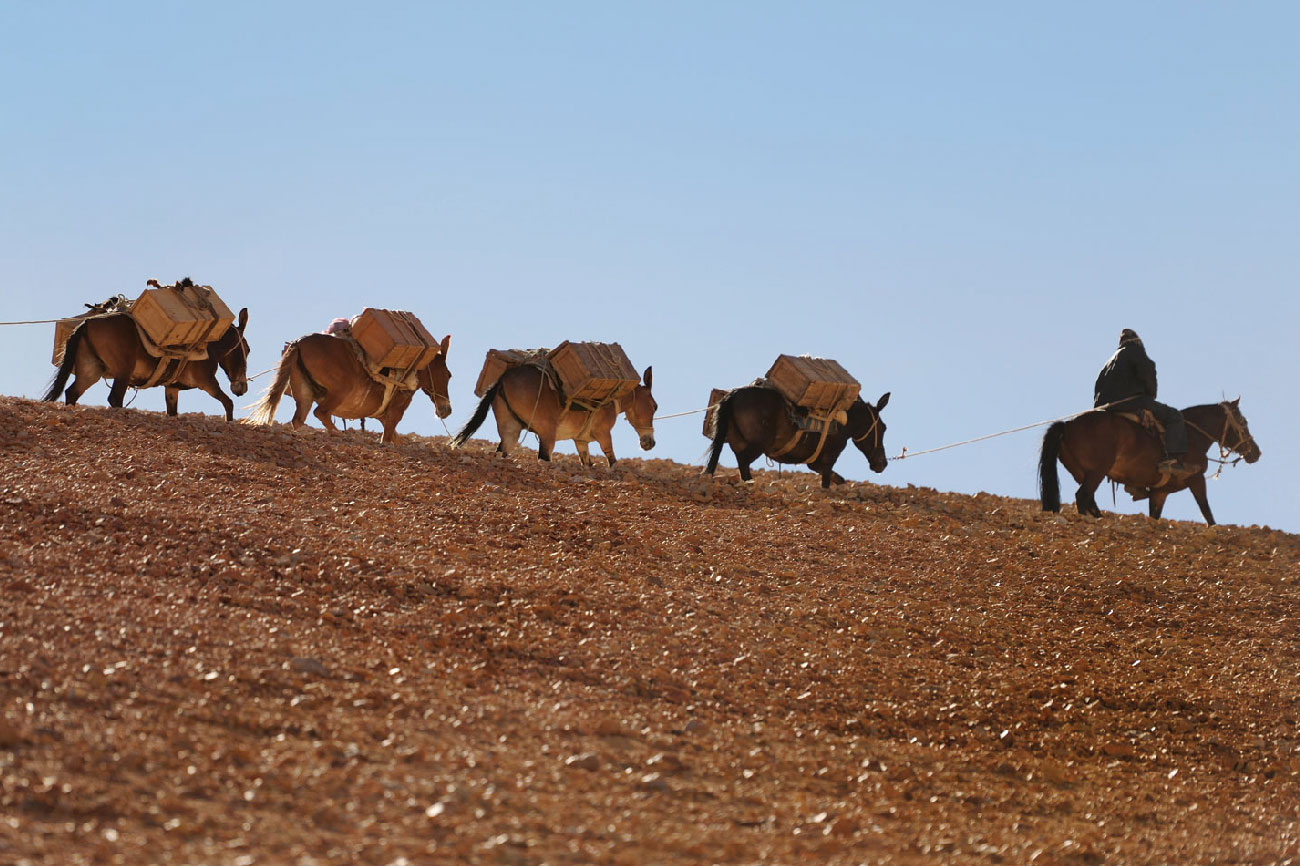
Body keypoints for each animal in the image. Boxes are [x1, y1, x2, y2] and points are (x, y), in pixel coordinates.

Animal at [43, 308, 249, 418]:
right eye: (247, 349)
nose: (241, 388)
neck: (210, 346)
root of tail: (85, 323)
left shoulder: (172, 388)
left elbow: (172, 412)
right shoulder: (207, 382)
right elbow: (228, 403)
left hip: (90, 371)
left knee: (72, 392)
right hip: (122, 372)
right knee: (114, 398)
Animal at [244, 328, 452, 442]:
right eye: (449, 375)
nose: (446, 410)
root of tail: (298, 342)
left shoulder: (385, 418)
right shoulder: (393, 415)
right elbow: (387, 439)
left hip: (304, 395)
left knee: (299, 420)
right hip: (340, 391)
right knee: (321, 412)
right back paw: (338, 434)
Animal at [449, 361, 655, 462]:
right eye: (655, 406)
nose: (649, 443)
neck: (613, 400)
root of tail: (502, 379)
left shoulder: (581, 441)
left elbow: (587, 463)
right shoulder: (604, 434)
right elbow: (612, 460)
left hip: (510, 429)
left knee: (503, 451)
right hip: (547, 433)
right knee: (543, 458)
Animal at [707, 384, 889, 486]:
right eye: (882, 428)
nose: (882, 464)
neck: (843, 420)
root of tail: (733, 394)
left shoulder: (815, 462)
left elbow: (830, 475)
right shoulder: (830, 456)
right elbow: (826, 480)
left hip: (737, 442)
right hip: (757, 445)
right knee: (744, 463)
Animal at [1034, 400, 1258, 522]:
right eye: (1243, 422)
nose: (1256, 453)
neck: (1192, 436)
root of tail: (1067, 425)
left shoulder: (1160, 492)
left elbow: (1155, 516)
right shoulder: (1197, 479)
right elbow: (1207, 513)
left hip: (1084, 474)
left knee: (1089, 500)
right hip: (1096, 473)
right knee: (1082, 497)